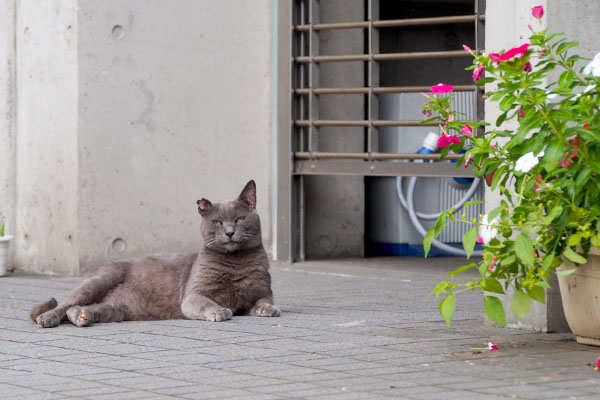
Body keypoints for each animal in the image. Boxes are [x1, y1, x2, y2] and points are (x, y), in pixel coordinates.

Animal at [29, 181, 280, 328]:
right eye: (217, 222)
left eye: (240, 219)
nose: (229, 232)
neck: (236, 263)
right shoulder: (193, 295)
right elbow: (206, 302)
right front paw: (219, 311)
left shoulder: (261, 293)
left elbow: (263, 301)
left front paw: (268, 309)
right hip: (100, 280)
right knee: (65, 304)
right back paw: (48, 318)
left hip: (121, 308)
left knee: (82, 309)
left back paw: (82, 316)